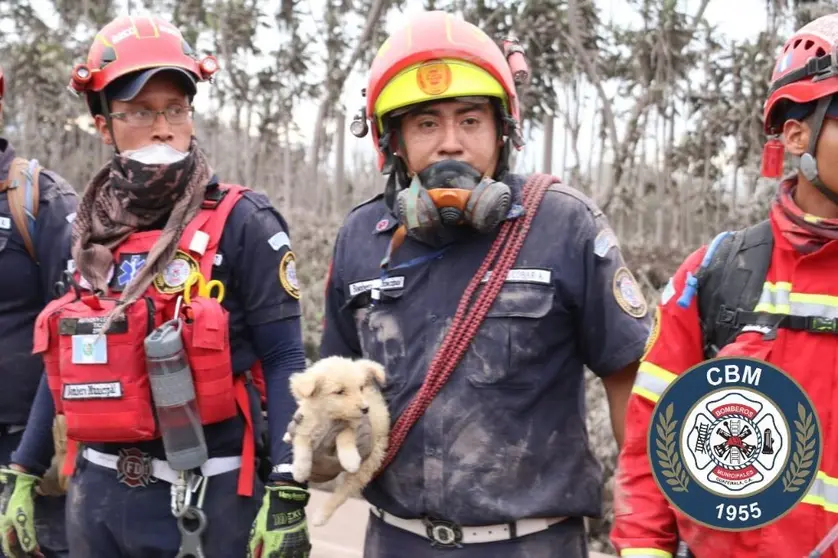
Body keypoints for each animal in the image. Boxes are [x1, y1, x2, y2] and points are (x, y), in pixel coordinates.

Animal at [286, 356, 390, 528]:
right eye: (340, 391)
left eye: (360, 388)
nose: (365, 409)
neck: (329, 417)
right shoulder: (305, 424)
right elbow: (301, 447)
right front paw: (300, 471)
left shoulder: (352, 426)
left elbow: (345, 437)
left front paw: (350, 459)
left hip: (364, 469)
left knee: (340, 496)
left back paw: (320, 516)